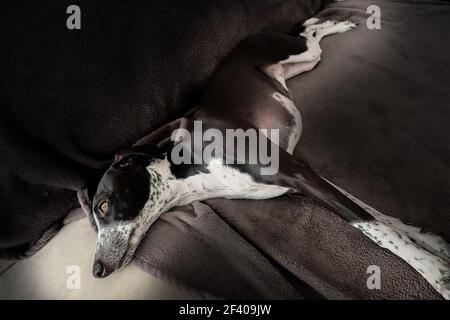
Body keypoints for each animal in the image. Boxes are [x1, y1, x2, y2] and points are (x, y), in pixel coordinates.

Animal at [89, 20, 448, 298]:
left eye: (103, 206)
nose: (96, 270)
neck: (192, 170)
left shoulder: (296, 173)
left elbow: (375, 227)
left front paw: (436, 273)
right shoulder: (302, 176)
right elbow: (376, 216)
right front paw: (431, 244)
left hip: (300, 53)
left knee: (310, 29)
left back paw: (340, 22)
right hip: (300, 64)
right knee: (311, 31)